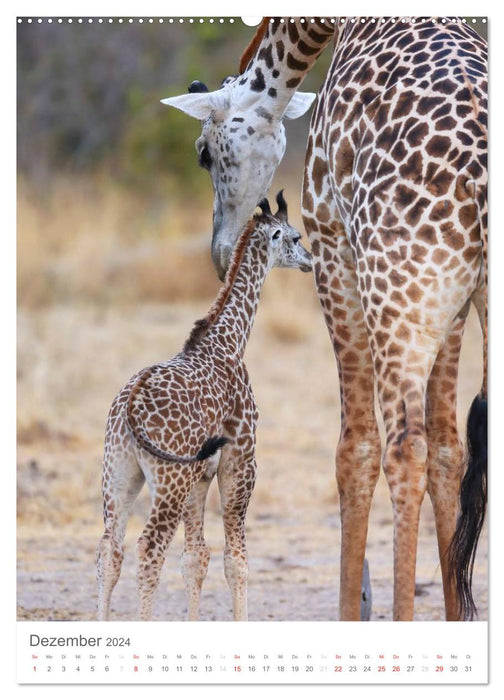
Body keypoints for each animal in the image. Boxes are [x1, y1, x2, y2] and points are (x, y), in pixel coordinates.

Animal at [94, 190, 312, 616]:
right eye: (294, 237)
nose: (310, 260)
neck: (228, 342)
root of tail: (130, 407)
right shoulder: (241, 461)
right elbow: (236, 559)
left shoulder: (202, 475)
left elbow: (195, 558)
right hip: (168, 481)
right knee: (148, 549)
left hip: (118, 473)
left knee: (109, 550)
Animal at [165, 16, 488, 620]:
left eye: (202, 153)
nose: (220, 253)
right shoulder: (452, 311)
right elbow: (450, 451)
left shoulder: (333, 247)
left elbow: (354, 449)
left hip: (394, 294)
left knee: (401, 448)